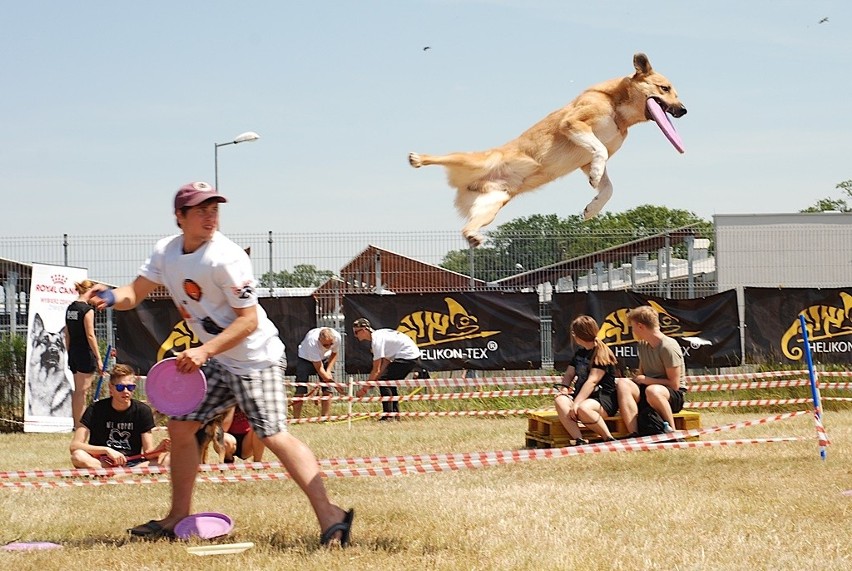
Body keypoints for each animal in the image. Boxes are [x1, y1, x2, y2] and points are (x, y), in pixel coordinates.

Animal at [410, 54, 688, 248]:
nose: (684, 110)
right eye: (664, 88)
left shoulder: (586, 159)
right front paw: (596, 178)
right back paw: (417, 158)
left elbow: (608, 187)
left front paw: (592, 207)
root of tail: (471, 184)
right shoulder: (573, 124)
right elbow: (599, 151)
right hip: (475, 161)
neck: (619, 110)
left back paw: (473, 237)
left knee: (467, 227)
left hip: (491, 205)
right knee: (442, 157)